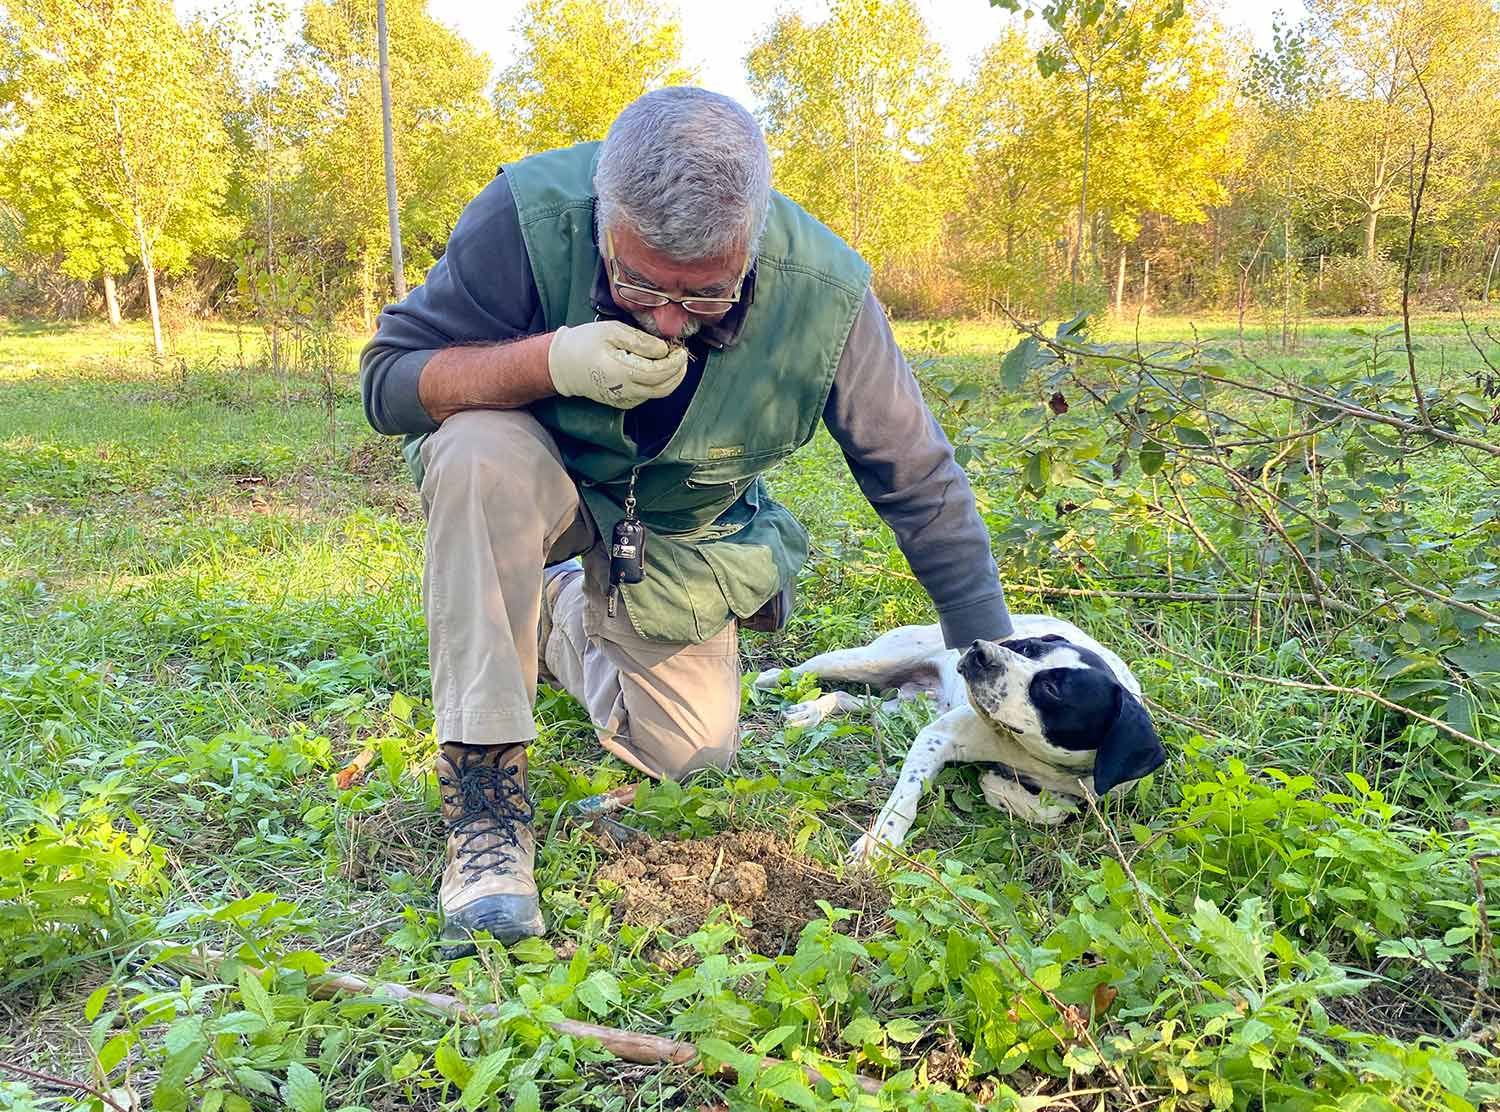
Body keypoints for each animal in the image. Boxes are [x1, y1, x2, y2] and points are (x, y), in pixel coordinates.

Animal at [756, 615, 1164, 858]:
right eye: (1027, 647)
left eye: (1052, 689)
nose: (981, 650)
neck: (1035, 757)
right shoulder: (935, 737)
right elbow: (904, 799)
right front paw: (880, 842)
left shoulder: (1096, 793)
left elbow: (1055, 811)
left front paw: (1000, 787)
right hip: (863, 661)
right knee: (802, 672)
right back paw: (770, 681)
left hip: (902, 706)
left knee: (846, 697)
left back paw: (811, 712)